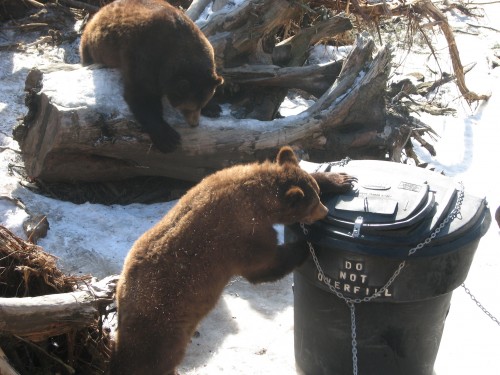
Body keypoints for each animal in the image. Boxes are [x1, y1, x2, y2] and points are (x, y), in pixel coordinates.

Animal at [79, 0, 223, 153]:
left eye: (201, 104)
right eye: (188, 107)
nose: (194, 124)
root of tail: (99, 12)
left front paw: (214, 108)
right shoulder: (143, 57)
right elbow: (142, 95)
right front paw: (168, 138)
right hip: (90, 45)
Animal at [111, 148, 358, 375]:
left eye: (317, 195)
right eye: (312, 205)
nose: (324, 211)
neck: (256, 200)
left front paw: (342, 179)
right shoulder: (240, 236)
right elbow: (263, 265)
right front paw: (305, 244)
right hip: (162, 327)